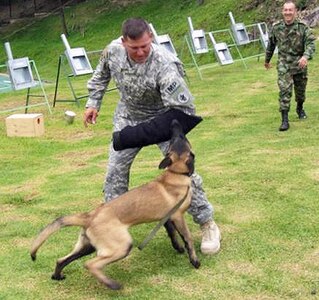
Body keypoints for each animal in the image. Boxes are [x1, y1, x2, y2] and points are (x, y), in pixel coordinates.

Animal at [30, 120, 200, 290]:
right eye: (180, 137)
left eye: (175, 139)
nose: (174, 122)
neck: (175, 173)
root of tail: (90, 216)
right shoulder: (178, 216)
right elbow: (188, 238)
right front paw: (194, 260)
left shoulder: (166, 218)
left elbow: (172, 234)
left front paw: (178, 248)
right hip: (121, 246)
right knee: (90, 264)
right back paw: (112, 284)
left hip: (88, 245)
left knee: (62, 260)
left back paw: (58, 276)